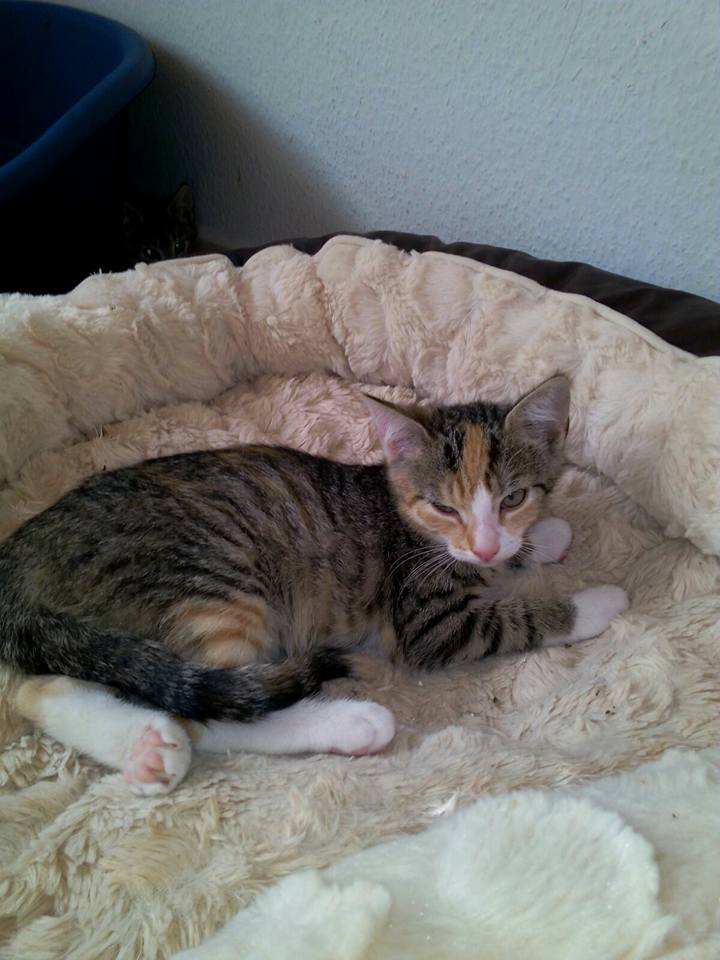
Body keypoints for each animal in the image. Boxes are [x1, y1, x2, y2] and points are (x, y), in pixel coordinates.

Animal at [0, 376, 628, 794]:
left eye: (513, 498)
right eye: (444, 507)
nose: (486, 544)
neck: (407, 519)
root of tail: (21, 551)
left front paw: (540, 538)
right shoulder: (429, 622)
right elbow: (516, 617)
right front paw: (595, 601)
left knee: (43, 686)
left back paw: (146, 751)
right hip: (215, 584)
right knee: (213, 711)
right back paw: (350, 723)